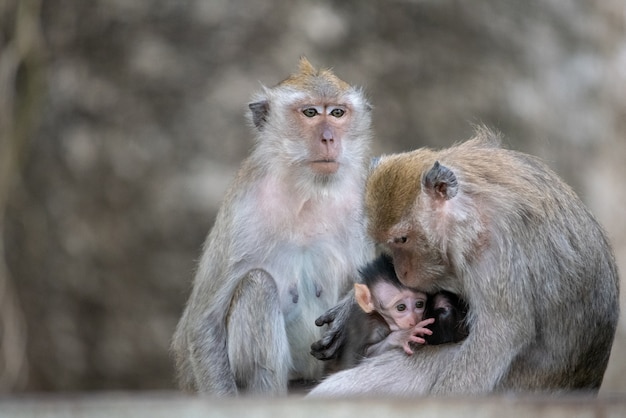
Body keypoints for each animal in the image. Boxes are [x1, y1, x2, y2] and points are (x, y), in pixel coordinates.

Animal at [171, 58, 372, 396]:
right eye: (310, 113)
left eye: (337, 113)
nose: (329, 138)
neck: (307, 192)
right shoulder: (242, 211)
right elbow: (203, 324)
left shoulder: (364, 200)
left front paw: (346, 313)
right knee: (257, 286)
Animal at [308, 128, 616, 398]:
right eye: (388, 243)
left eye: (403, 240)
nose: (401, 271)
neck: (468, 211)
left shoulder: (493, 249)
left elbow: (498, 336)